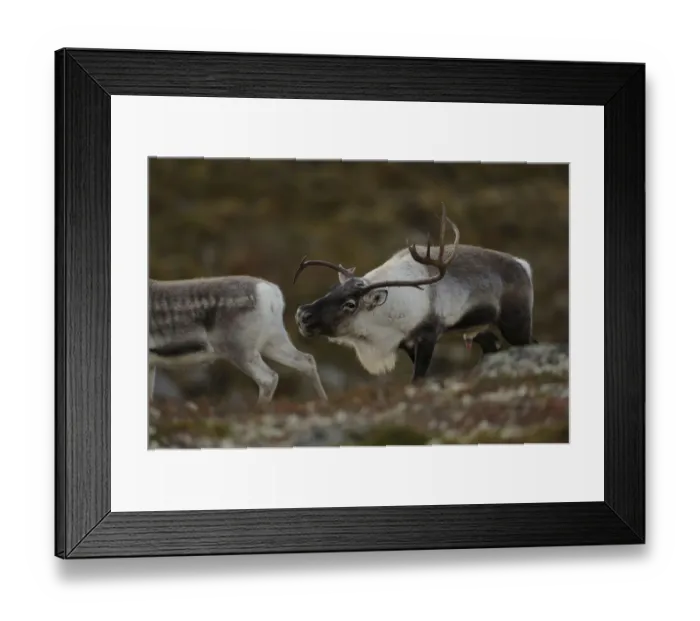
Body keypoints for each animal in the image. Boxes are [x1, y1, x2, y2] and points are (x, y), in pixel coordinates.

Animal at [148, 275, 328, 405]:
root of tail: (271, 293)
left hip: (240, 349)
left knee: (268, 378)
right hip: (273, 340)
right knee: (306, 360)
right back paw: (323, 401)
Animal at [292, 204, 537, 383]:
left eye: (350, 304)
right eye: (332, 289)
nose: (303, 314)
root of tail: (523, 265)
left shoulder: (427, 336)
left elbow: (418, 377)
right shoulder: (406, 344)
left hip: (516, 324)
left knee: (530, 343)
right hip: (476, 330)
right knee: (492, 346)